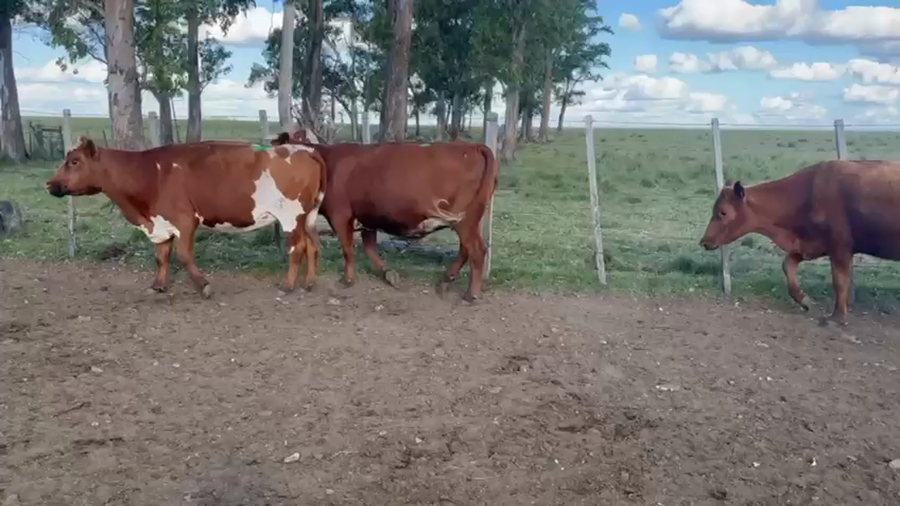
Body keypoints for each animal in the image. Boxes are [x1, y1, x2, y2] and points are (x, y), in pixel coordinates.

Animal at [45, 136, 327, 298]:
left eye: (74, 161)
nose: (50, 183)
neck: (150, 174)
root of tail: (305, 149)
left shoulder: (185, 220)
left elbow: (183, 255)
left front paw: (204, 286)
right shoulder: (161, 222)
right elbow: (161, 256)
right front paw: (158, 285)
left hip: (291, 215)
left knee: (297, 248)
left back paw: (288, 285)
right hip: (308, 216)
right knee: (313, 245)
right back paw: (309, 283)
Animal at [271, 132, 499, 302]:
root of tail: (473, 147)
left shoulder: (340, 214)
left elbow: (347, 248)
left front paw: (348, 280)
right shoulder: (368, 217)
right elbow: (369, 248)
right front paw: (389, 274)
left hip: (464, 220)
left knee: (476, 249)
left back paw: (470, 294)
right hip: (467, 220)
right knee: (466, 249)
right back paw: (445, 281)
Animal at [699, 159, 900, 325]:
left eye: (723, 212)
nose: (703, 241)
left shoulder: (840, 247)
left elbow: (840, 281)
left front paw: (837, 317)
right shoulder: (812, 245)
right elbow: (788, 264)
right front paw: (804, 300)